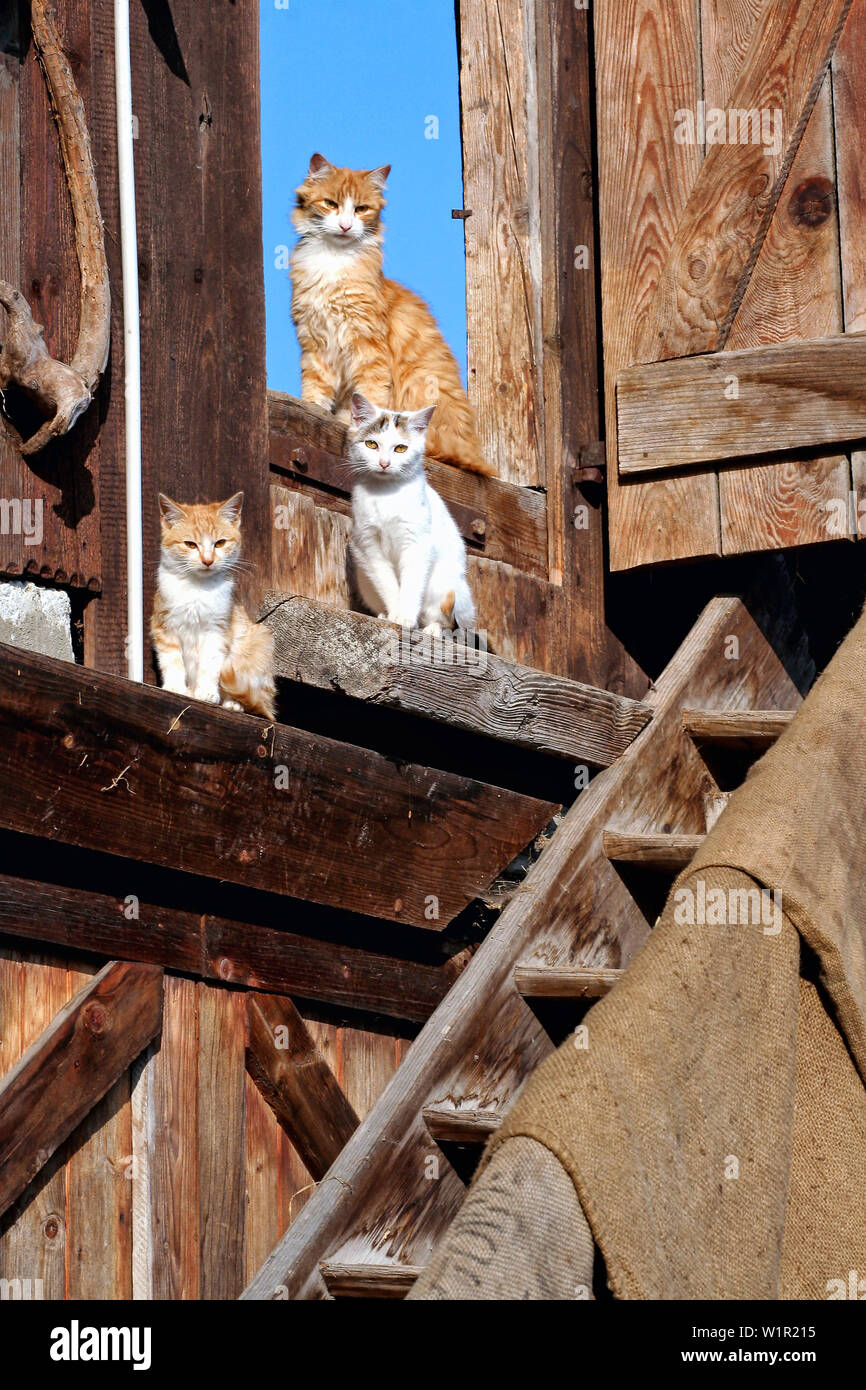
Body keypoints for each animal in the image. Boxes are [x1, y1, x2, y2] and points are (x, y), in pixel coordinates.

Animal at [150, 489, 276, 722]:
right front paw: (175, 688)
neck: (197, 589)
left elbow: (209, 666)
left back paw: (233, 703)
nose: (207, 560)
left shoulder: (216, 631)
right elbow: (172, 661)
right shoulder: (165, 627)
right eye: (190, 544)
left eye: (219, 543)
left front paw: (207, 693)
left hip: (259, 641)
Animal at [291, 153, 494, 478]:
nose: (346, 226)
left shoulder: (368, 345)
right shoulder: (314, 339)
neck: (333, 261)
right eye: (331, 203)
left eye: (361, 209)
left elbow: (370, 396)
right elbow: (316, 386)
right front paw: (316, 408)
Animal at [348, 391, 478, 631]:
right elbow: (387, 583)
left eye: (401, 448)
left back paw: (432, 629)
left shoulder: (418, 542)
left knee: (443, 618)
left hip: (450, 587)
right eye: (371, 444)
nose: (384, 463)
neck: (385, 493)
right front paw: (394, 615)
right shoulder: (367, 545)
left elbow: (412, 582)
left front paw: (406, 616)